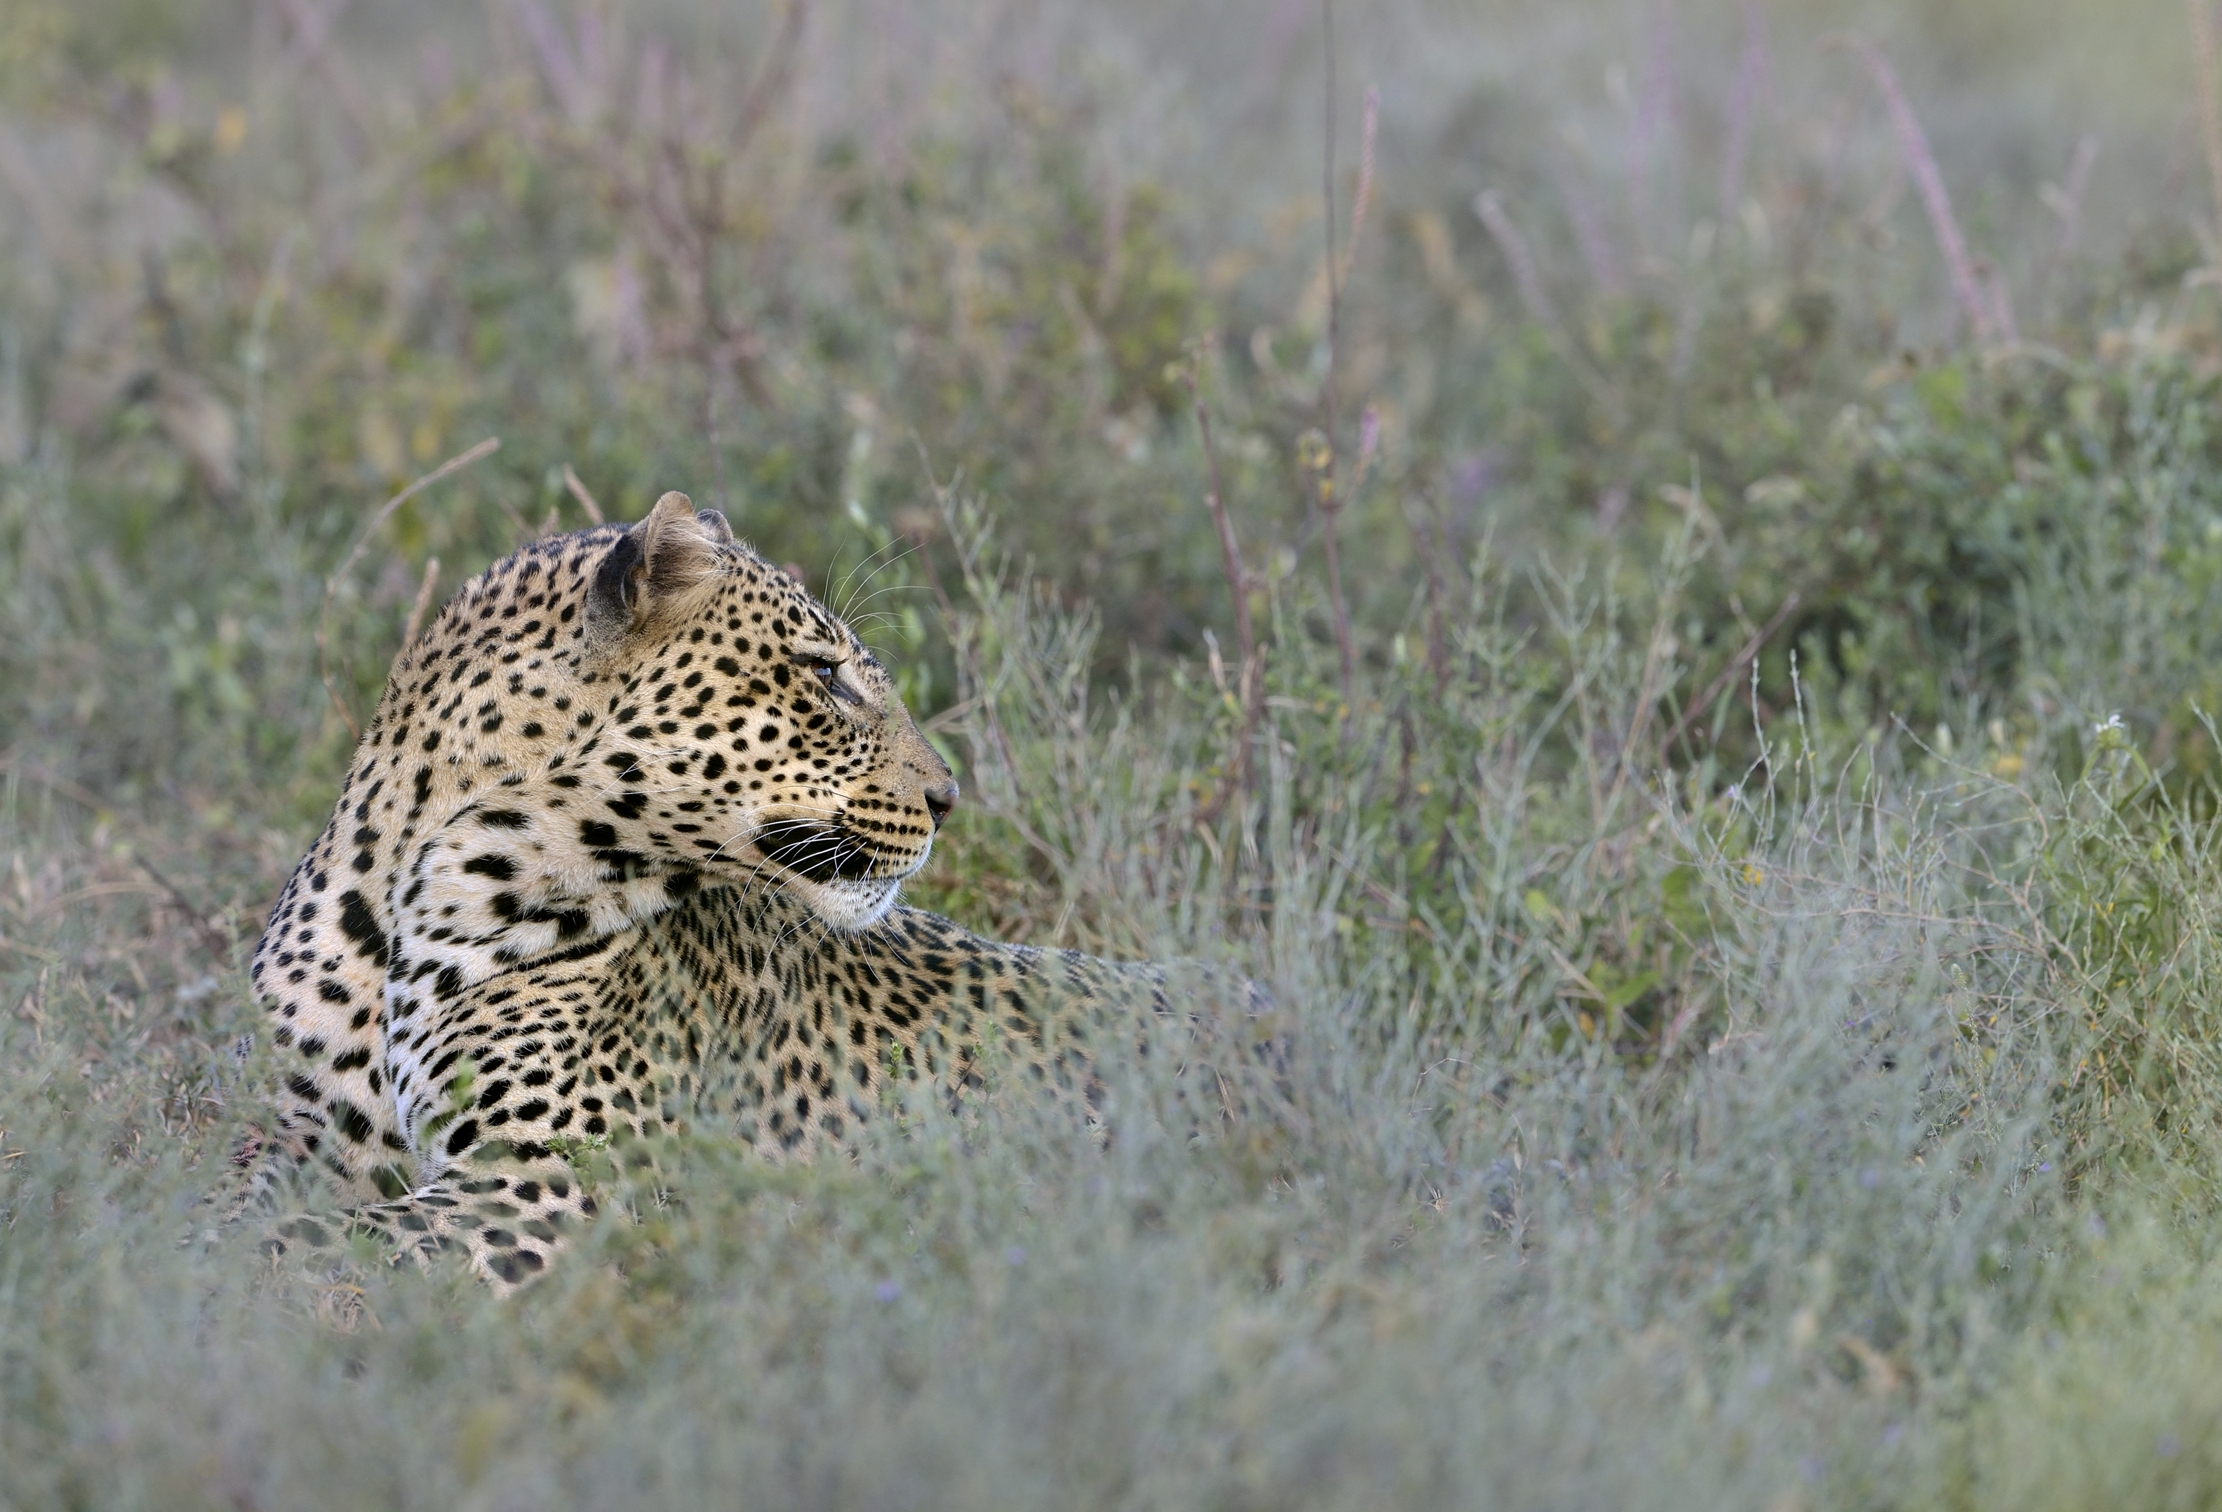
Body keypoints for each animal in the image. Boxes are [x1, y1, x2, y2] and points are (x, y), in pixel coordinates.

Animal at [243, 491, 1205, 1290]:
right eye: (826, 677)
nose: (950, 798)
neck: (407, 905)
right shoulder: (297, 1135)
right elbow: (254, 1211)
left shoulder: (543, 1181)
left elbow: (318, 1241)